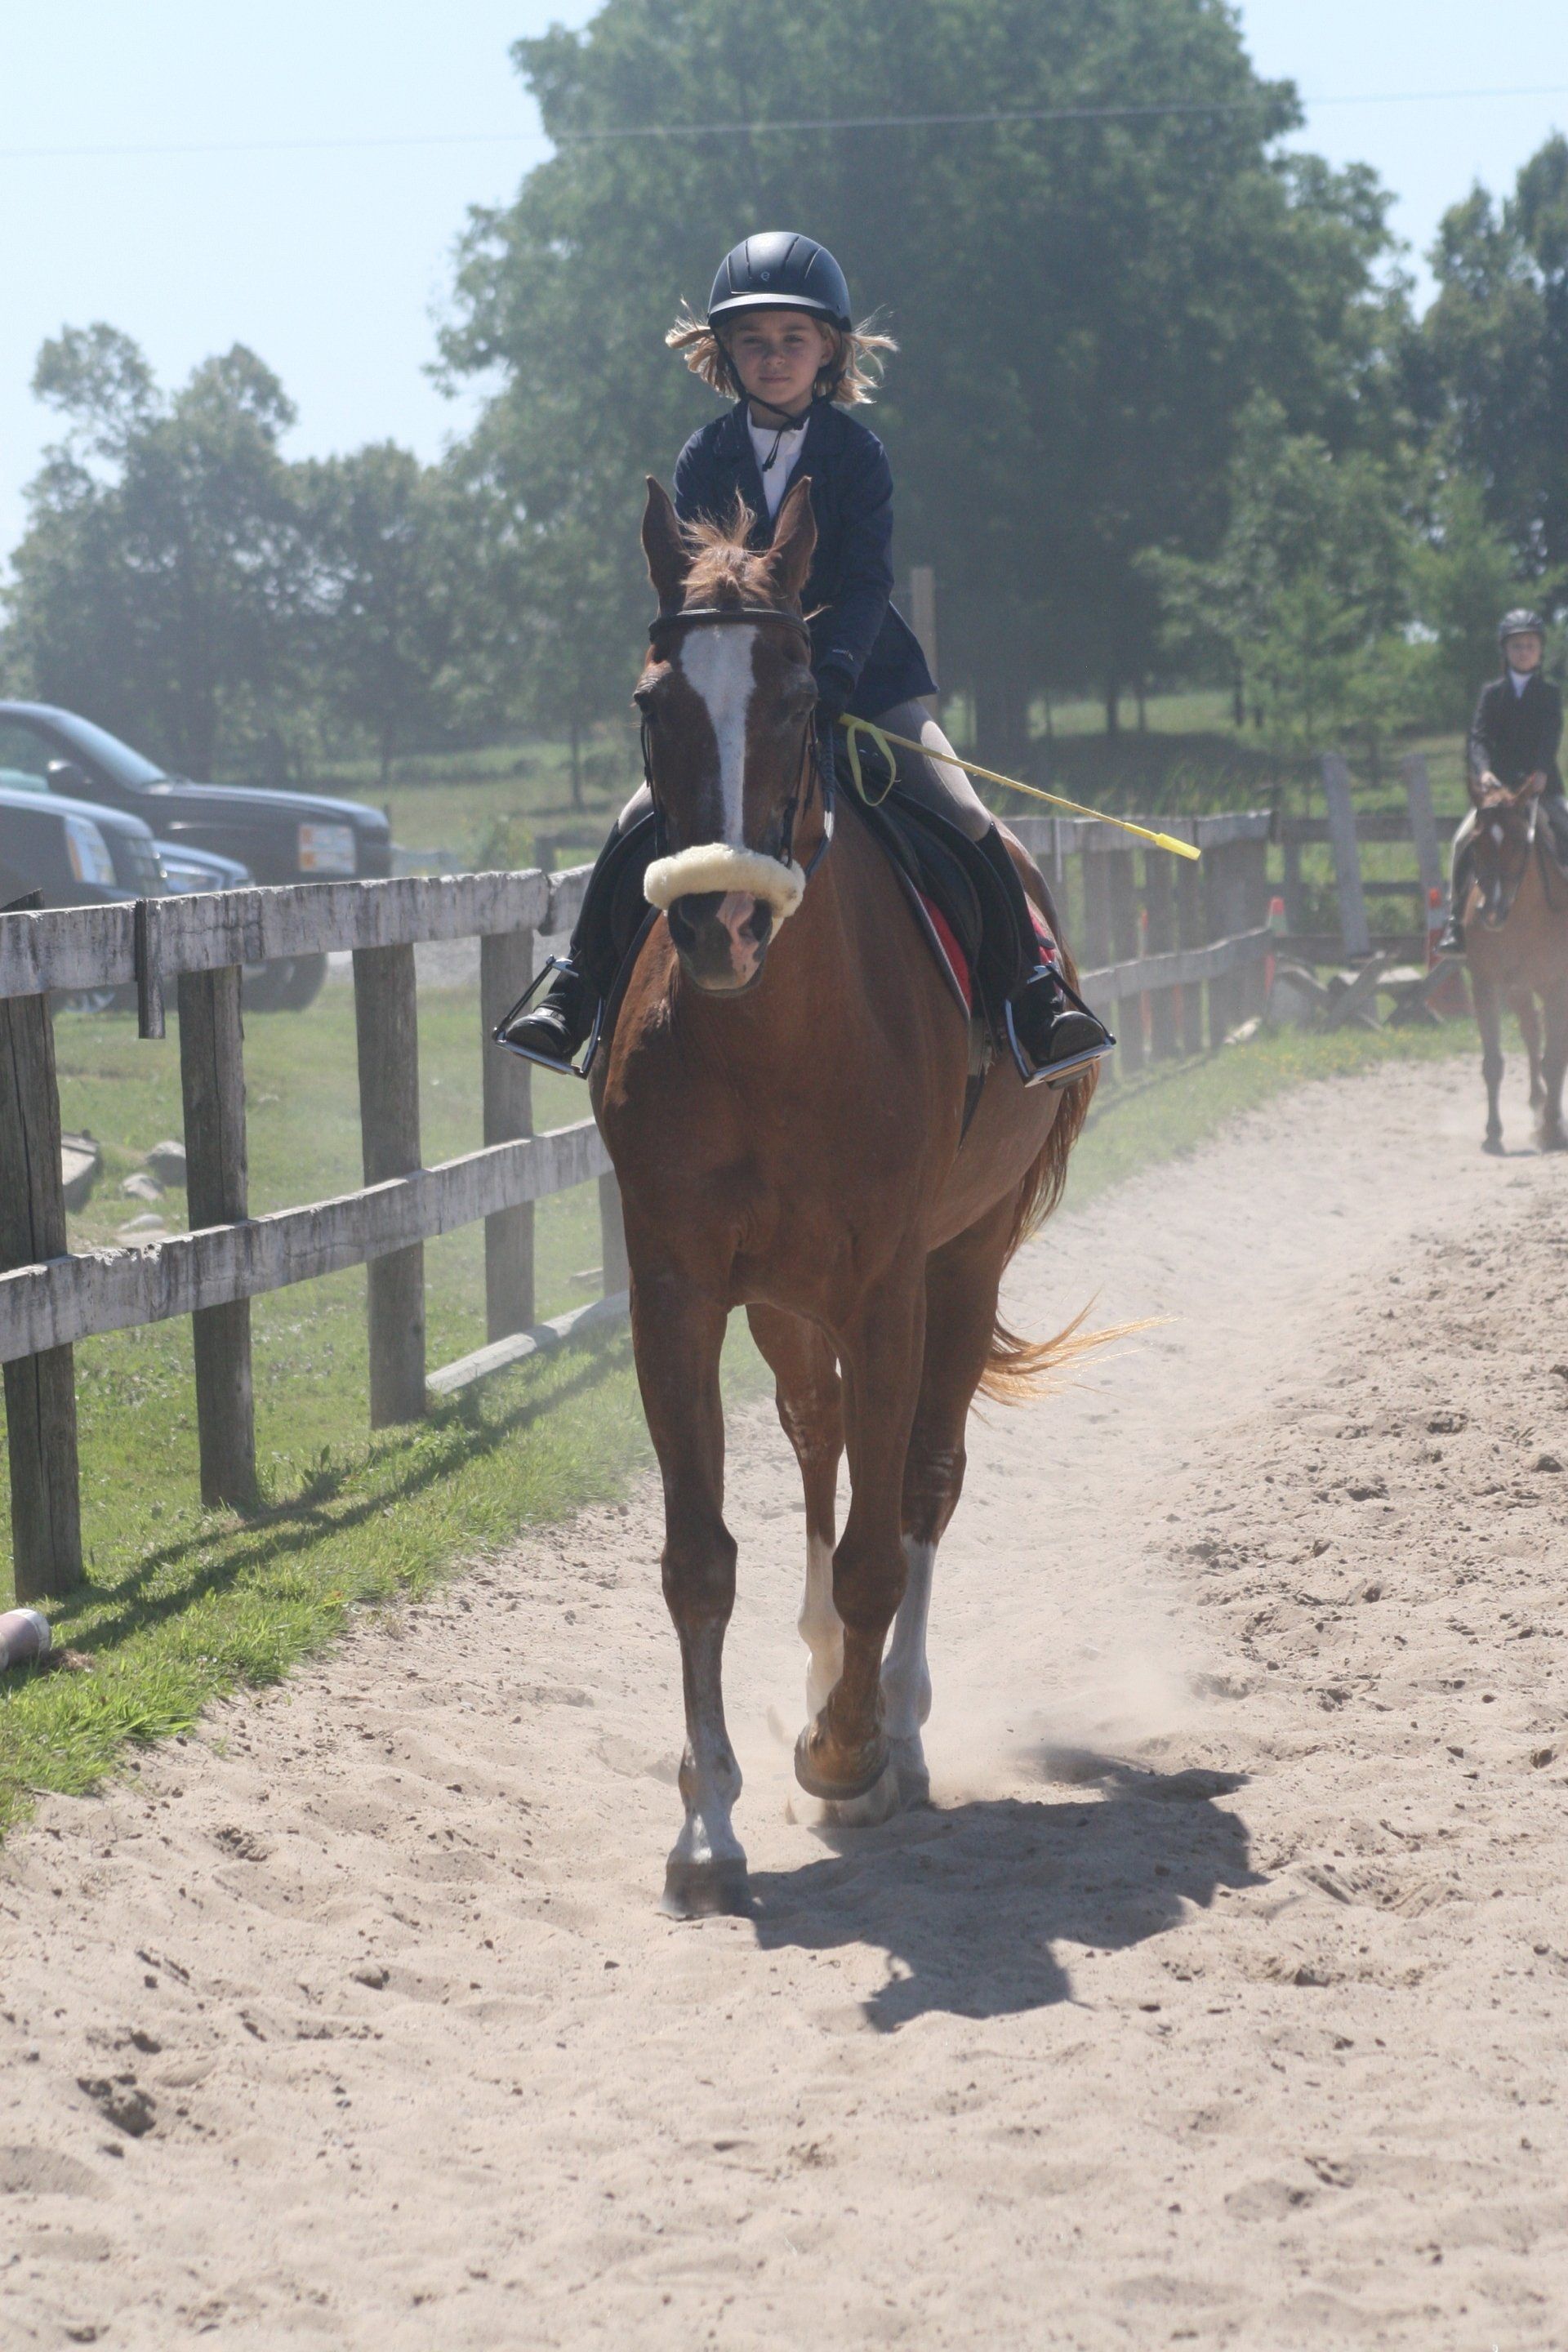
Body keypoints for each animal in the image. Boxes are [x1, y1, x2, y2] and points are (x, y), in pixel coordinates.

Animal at [591, 477, 1094, 1915]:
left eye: (806, 694)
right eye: (652, 701)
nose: (717, 922)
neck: (771, 1033)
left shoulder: (885, 1289)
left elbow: (884, 1538)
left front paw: (848, 1751)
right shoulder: (680, 1293)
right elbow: (700, 1557)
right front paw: (708, 1827)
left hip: (961, 1263)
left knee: (921, 1479)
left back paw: (897, 1732)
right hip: (785, 1302)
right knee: (823, 1446)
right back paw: (823, 1670)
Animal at [1461, 785, 1568, 1154]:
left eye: (1522, 842)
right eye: (1475, 842)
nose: (1491, 912)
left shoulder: (1556, 988)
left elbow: (1555, 1062)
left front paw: (1552, 1132)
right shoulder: (1486, 985)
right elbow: (1493, 1063)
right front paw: (1493, 1134)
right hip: (1518, 989)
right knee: (1531, 1034)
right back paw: (1536, 1106)